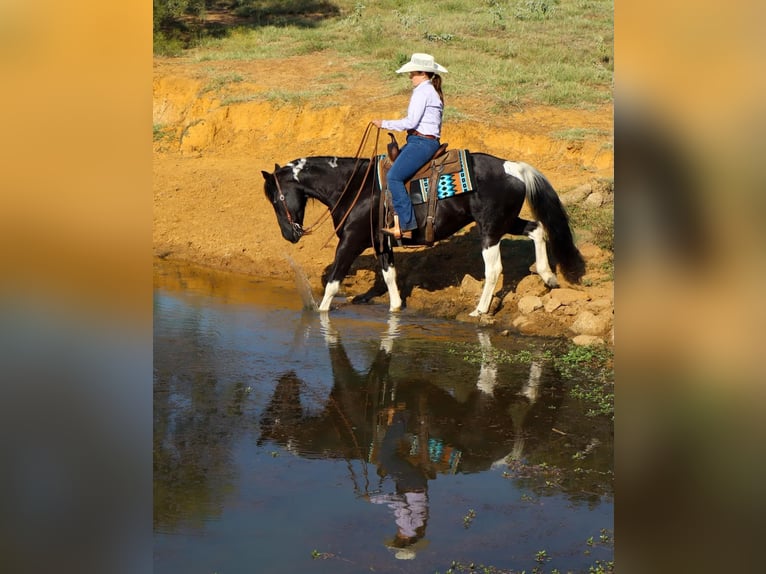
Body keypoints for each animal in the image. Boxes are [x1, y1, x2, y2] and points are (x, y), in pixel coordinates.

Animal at [261, 149, 585, 315]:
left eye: (277, 199)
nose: (290, 235)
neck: (354, 187)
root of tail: (513, 168)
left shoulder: (350, 241)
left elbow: (333, 281)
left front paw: (320, 313)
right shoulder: (381, 242)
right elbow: (390, 277)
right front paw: (394, 309)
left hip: (490, 229)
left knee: (494, 269)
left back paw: (480, 310)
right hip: (506, 221)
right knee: (537, 229)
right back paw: (548, 276)